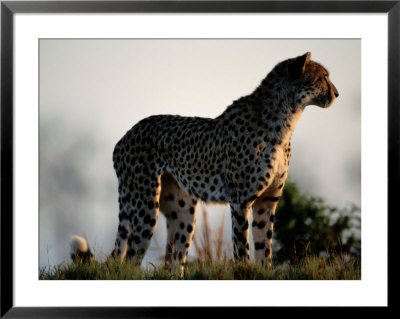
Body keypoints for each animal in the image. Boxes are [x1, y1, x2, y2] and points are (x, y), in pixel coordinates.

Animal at [71, 52, 338, 276]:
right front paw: (245, 273)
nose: (336, 93)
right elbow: (242, 247)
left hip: (183, 209)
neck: (285, 120)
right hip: (144, 204)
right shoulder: (241, 201)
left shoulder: (267, 201)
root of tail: (125, 136)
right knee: (130, 259)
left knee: (174, 261)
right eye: (323, 77)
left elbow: (265, 247)